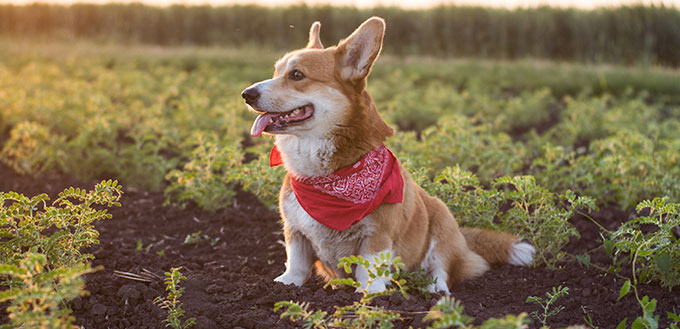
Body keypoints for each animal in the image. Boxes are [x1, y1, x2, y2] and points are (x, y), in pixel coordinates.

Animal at [242, 17, 532, 294]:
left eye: (297, 75)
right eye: (276, 71)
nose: (246, 94)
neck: (328, 178)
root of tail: (463, 239)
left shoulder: (377, 233)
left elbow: (368, 267)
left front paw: (370, 294)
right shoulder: (295, 231)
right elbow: (297, 263)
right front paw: (285, 284)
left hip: (442, 222)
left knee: (442, 268)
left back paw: (435, 289)